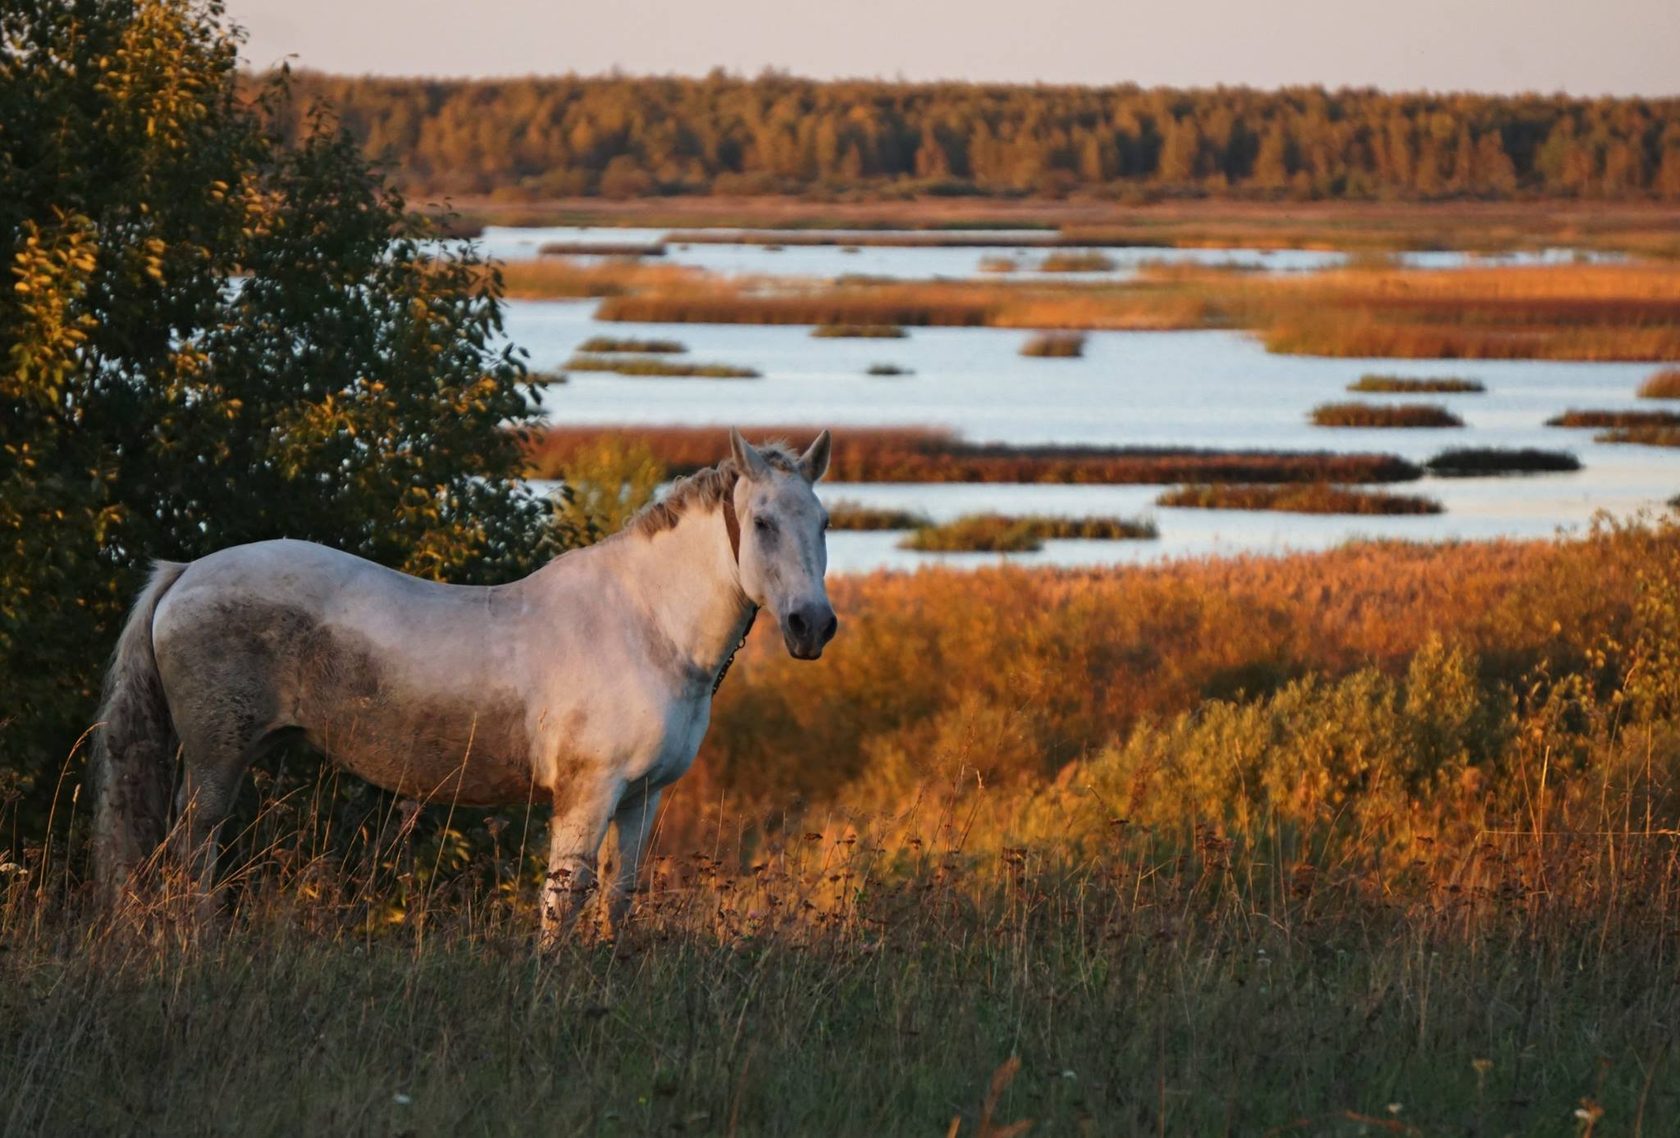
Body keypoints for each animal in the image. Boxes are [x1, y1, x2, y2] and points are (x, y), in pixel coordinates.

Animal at [88, 430, 836, 934]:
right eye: (763, 523)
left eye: (824, 522)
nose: (813, 626)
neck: (646, 625)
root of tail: (185, 572)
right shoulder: (587, 794)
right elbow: (563, 902)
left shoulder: (641, 798)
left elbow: (616, 901)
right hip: (216, 759)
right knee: (192, 856)